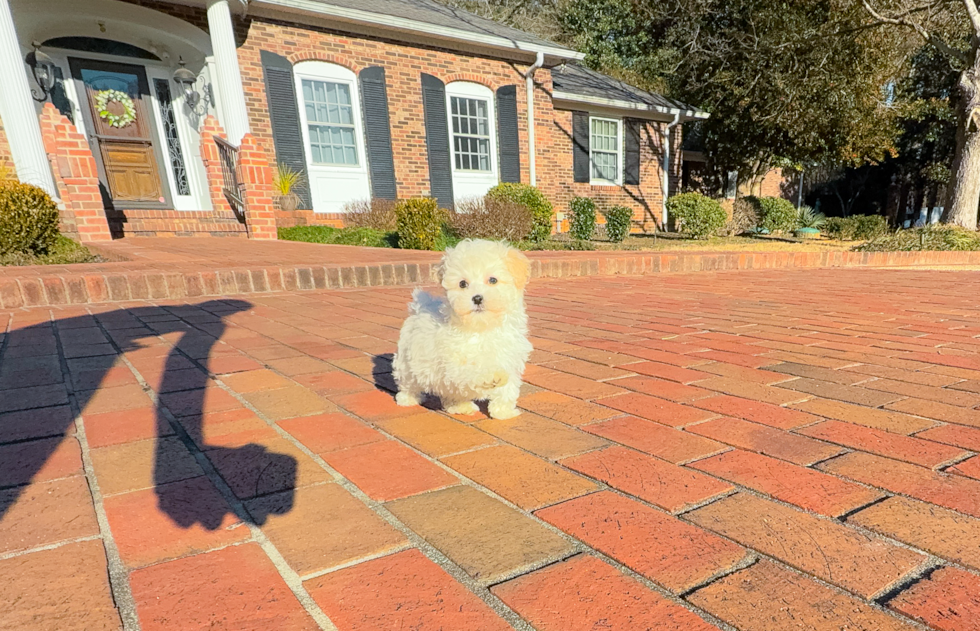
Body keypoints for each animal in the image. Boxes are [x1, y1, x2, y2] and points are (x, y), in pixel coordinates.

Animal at [392, 239, 536, 422]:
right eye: (462, 284)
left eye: (493, 280)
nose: (477, 298)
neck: (483, 327)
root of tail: (420, 307)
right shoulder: (454, 359)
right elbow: (472, 368)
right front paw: (490, 375)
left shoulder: (509, 358)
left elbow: (506, 390)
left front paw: (503, 412)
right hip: (407, 362)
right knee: (408, 382)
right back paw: (407, 399)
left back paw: (461, 406)